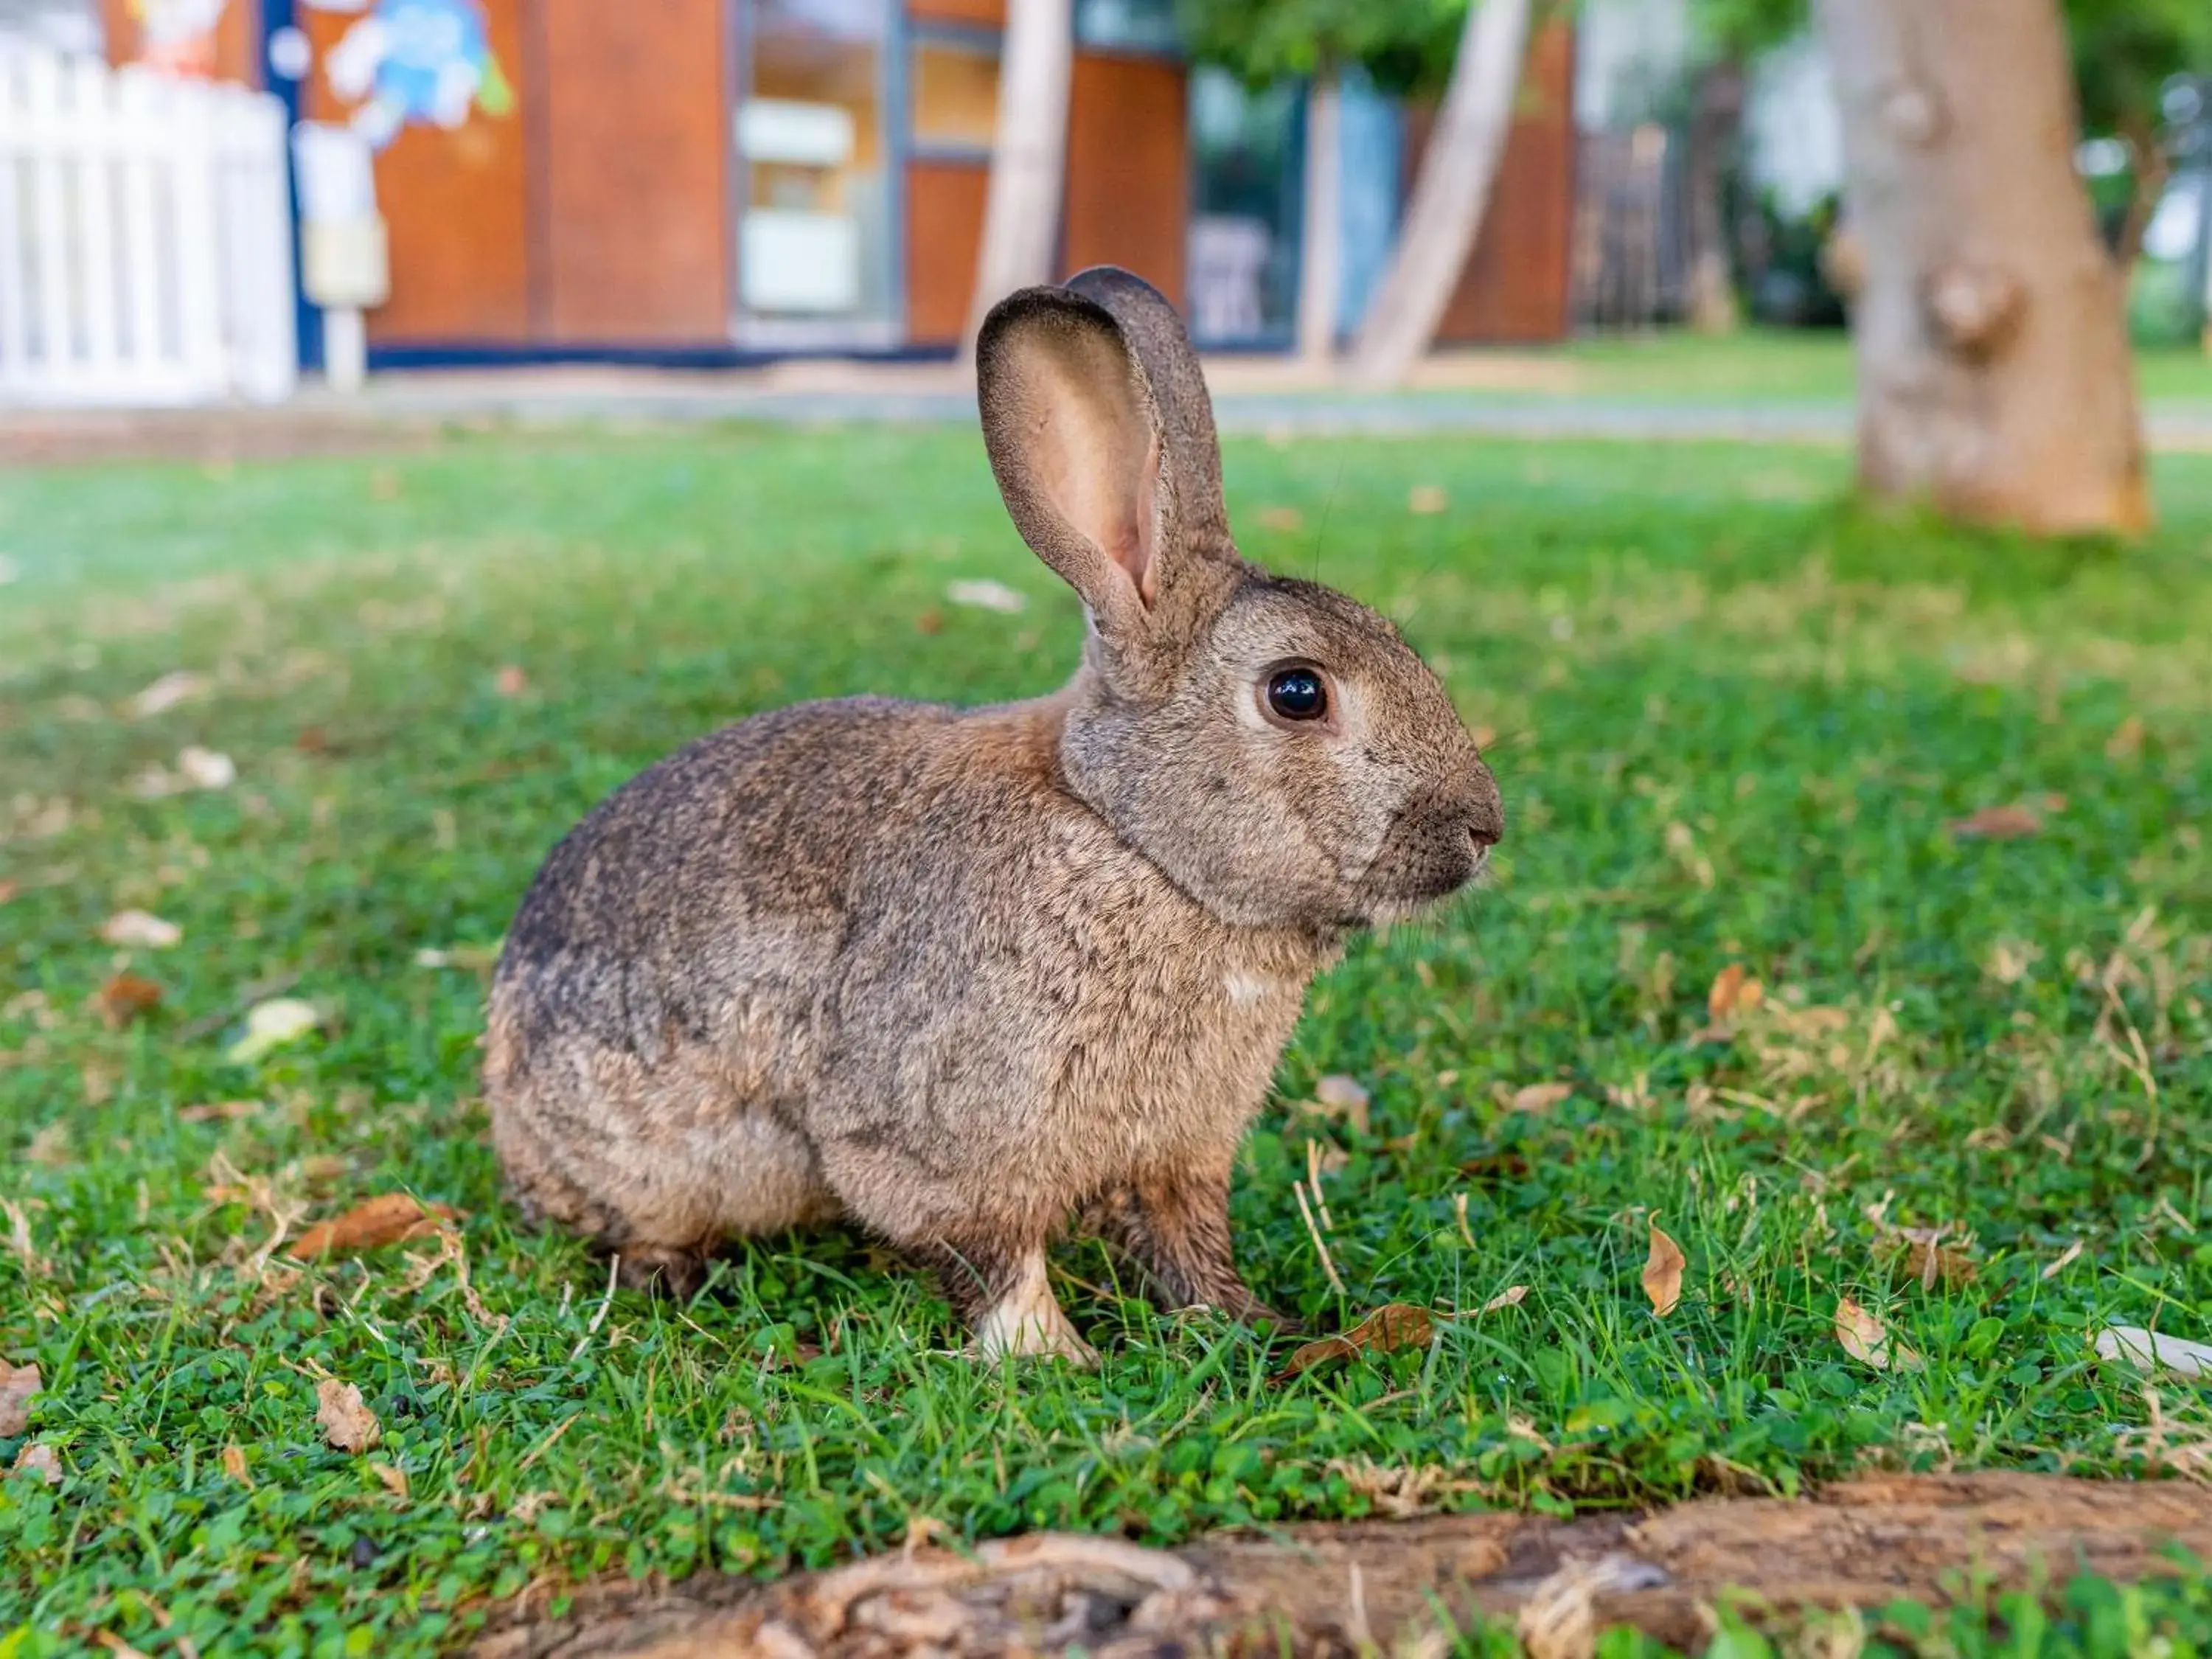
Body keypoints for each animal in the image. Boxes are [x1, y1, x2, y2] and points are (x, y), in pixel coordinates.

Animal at [489, 270, 1504, 1363]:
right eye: (1298, 692)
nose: (1484, 827)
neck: (1129, 839)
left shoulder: (1178, 1155)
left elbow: (1187, 1249)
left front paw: (1252, 1326)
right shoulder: (942, 1144)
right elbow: (998, 1258)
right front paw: (1054, 1359)